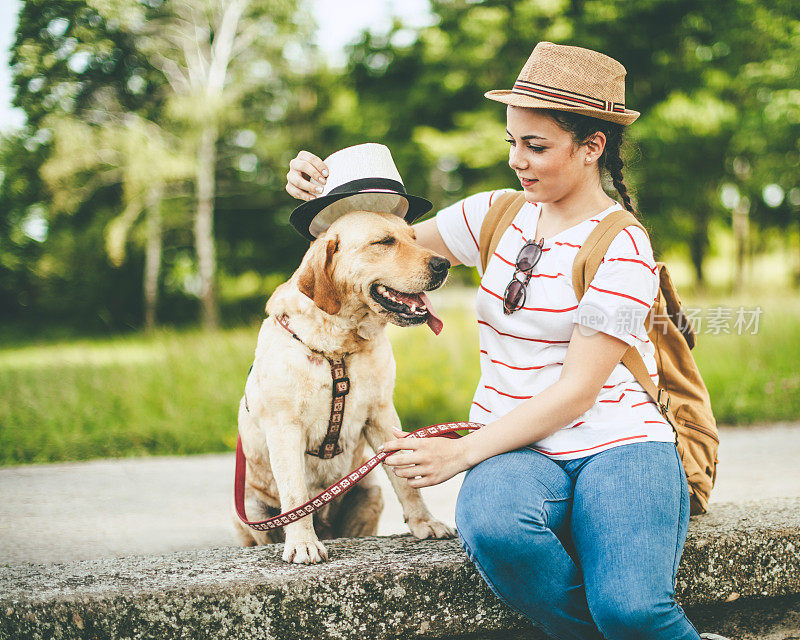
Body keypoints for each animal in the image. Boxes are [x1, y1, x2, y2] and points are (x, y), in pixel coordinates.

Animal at [233, 209, 456, 560]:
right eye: (383, 242)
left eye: (414, 238)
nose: (443, 264)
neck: (338, 347)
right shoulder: (285, 426)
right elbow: (295, 495)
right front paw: (303, 543)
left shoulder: (382, 416)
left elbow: (405, 482)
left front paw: (424, 523)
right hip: (250, 508)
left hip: (370, 493)